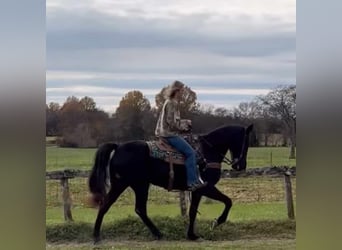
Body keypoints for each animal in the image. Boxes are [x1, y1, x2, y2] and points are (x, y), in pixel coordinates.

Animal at [89, 124, 252, 243]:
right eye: (246, 143)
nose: (241, 165)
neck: (207, 151)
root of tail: (118, 147)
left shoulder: (197, 190)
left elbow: (192, 212)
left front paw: (192, 235)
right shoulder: (206, 187)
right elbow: (228, 201)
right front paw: (217, 222)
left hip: (137, 185)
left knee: (134, 208)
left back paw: (157, 233)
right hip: (125, 184)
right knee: (110, 205)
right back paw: (97, 235)